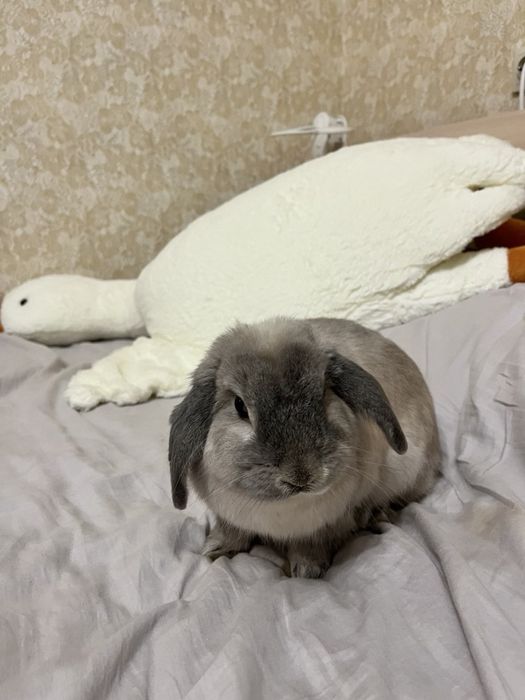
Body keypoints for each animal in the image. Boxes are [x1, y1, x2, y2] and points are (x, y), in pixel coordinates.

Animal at [169, 317, 440, 578]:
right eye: (239, 406)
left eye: (324, 393)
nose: (301, 474)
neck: (285, 507)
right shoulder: (230, 516)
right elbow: (232, 530)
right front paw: (215, 549)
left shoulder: (324, 525)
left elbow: (310, 544)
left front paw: (308, 570)